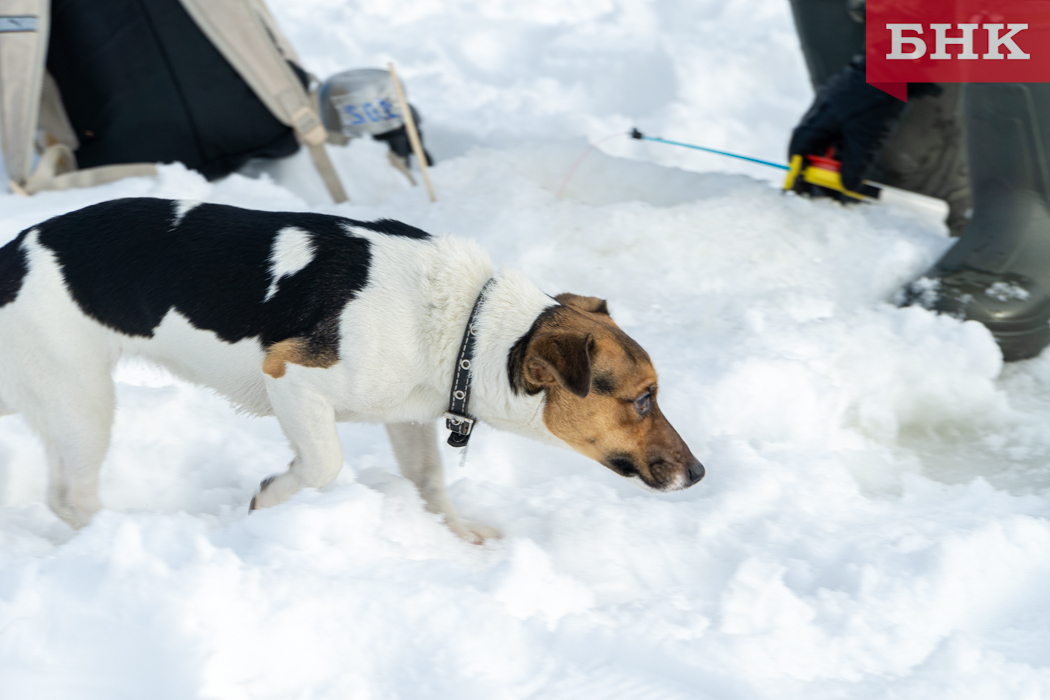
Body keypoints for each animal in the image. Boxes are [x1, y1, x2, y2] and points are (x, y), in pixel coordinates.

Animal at [2, 197, 705, 541]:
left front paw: (456, 535)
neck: (468, 327)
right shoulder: (291, 379)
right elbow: (322, 465)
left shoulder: (409, 414)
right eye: (643, 399)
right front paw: (269, 499)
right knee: (72, 497)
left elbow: (428, 481)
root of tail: (9, 258)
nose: (699, 474)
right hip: (82, 399)